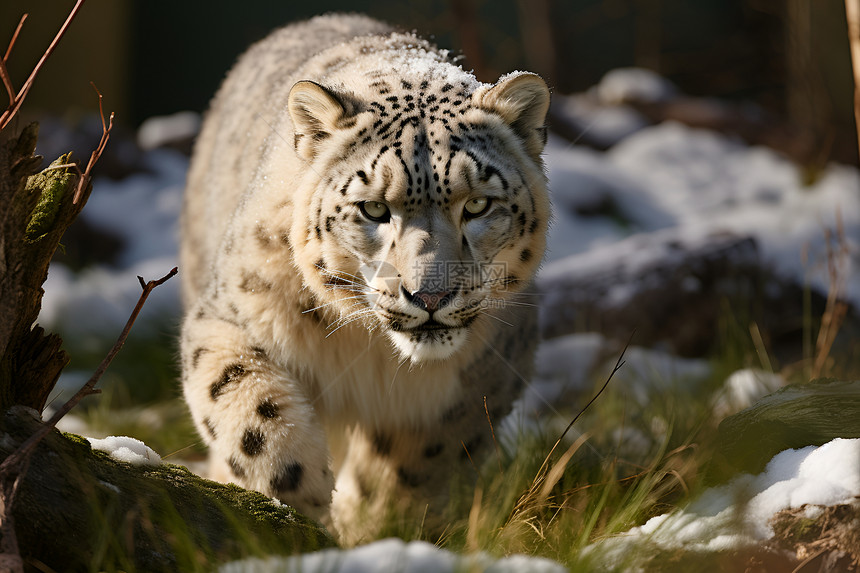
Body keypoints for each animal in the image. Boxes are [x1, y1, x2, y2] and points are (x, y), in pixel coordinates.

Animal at [181, 12, 552, 540]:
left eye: (478, 204)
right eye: (374, 209)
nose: (430, 296)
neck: (376, 353)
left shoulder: (488, 371)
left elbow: (421, 459)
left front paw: (377, 521)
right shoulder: (228, 316)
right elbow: (244, 401)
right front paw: (300, 491)